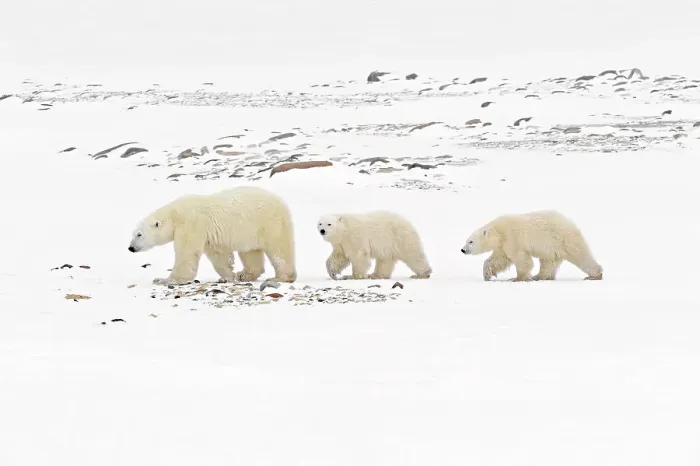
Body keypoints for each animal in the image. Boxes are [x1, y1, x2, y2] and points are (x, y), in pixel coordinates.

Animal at [128, 185, 297, 285]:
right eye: (134, 233)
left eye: (139, 234)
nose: (131, 248)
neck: (174, 215)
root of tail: (281, 201)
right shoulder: (209, 235)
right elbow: (218, 256)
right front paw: (228, 276)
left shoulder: (191, 223)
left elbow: (187, 253)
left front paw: (164, 279)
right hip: (249, 232)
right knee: (250, 252)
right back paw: (244, 275)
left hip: (270, 222)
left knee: (279, 250)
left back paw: (281, 277)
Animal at [460, 210, 603, 282]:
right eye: (466, 240)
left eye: (471, 241)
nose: (463, 249)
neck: (499, 231)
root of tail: (571, 223)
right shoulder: (503, 245)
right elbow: (499, 259)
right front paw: (487, 274)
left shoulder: (513, 238)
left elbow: (521, 259)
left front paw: (517, 278)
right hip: (551, 247)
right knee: (548, 262)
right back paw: (541, 276)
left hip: (564, 239)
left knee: (581, 255)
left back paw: (594, 275)